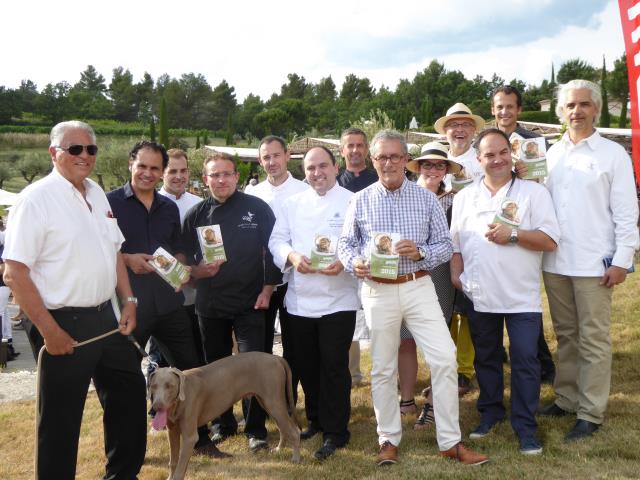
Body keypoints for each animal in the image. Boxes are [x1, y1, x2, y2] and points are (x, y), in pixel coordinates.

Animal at [149, 350, 302, 478]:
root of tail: (276, 357)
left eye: (169, 386)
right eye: (153, 386)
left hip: (273, 402)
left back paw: (295, 458)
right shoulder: (172, 431)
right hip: (267, 402)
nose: (156, 407)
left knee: (294, 430)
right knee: (283, 427)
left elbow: (180, 468)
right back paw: (279, 449)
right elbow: (173, 461)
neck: (179, 401)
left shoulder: (189, 437)